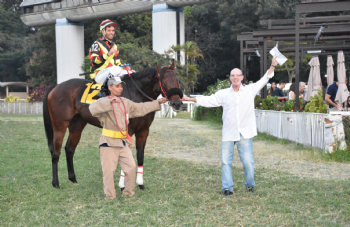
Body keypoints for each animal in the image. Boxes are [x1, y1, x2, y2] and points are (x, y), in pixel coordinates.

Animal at [43, 59, 183, 188]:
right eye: (164, 83)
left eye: (178, 81)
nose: (177, 103)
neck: (136, 94)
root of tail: (56, 86)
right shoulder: (127, 131)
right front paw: (123, 185)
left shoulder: (143, 130)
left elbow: (140, 156)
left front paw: (140, 184)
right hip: (60, 126)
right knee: (55, 152)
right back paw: (55, 183)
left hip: (77, 125)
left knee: (69, 149)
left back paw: (73, 179)